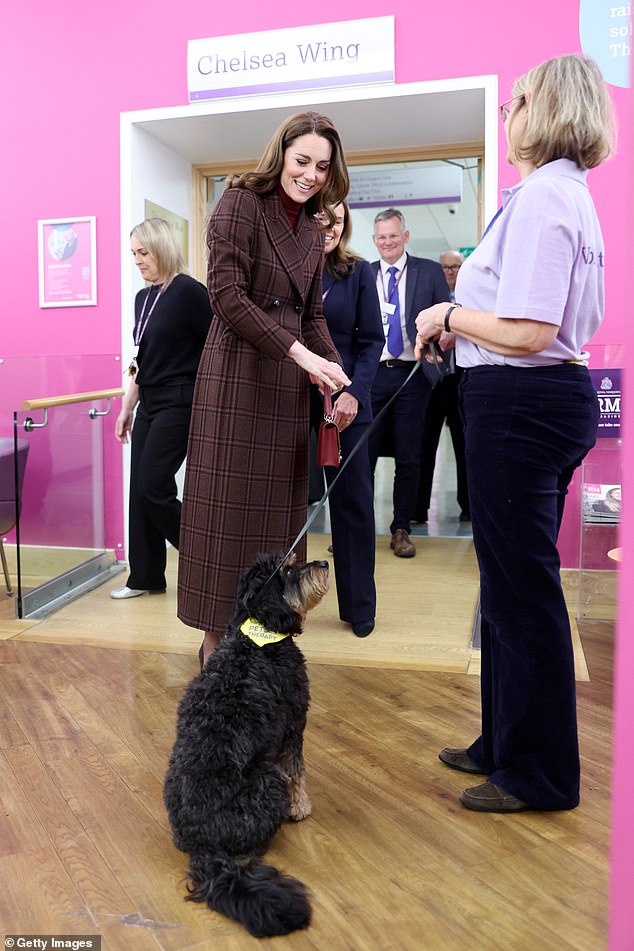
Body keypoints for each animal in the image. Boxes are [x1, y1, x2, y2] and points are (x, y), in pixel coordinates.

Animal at [163, 552, 328, 936]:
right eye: (289, 569)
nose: (324, 563)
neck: (256, 641)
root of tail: (204, 845)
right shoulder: (294, 721)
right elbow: (296, 770)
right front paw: (301, 807)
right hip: (267, 781)